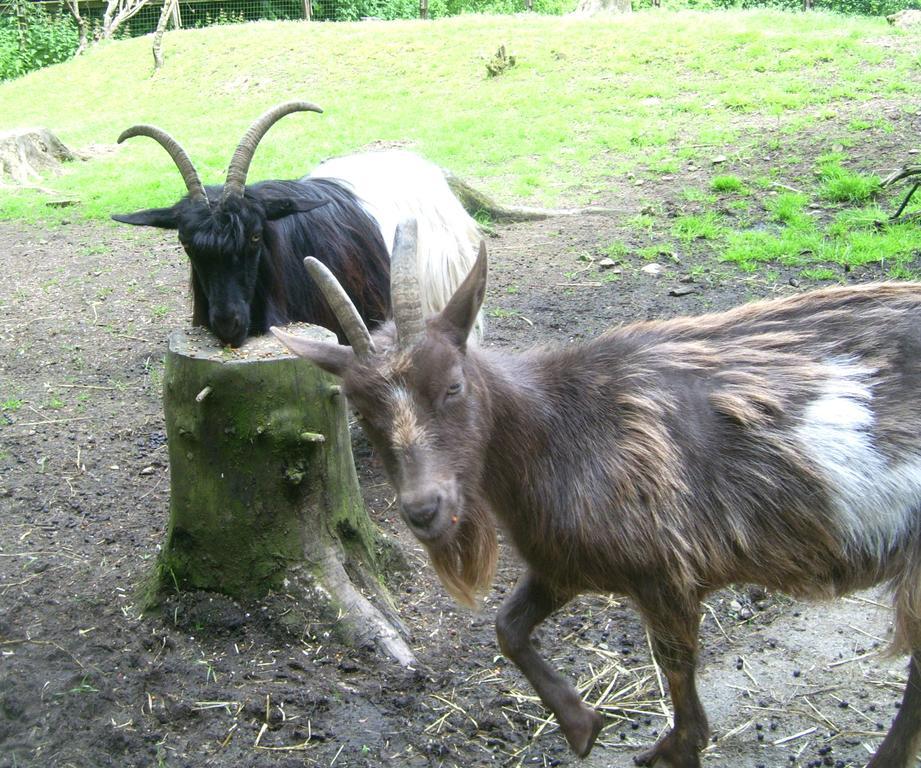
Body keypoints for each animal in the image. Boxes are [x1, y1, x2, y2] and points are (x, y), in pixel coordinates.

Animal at [272, 220, 920, 768]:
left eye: (453, 385)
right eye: (360, 411)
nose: (424, 510)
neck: (558, 428)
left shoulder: (665, 572)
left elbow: (677, 673)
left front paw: (669, 749)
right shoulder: (564, 563)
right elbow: (508, 627)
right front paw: (582, 725)